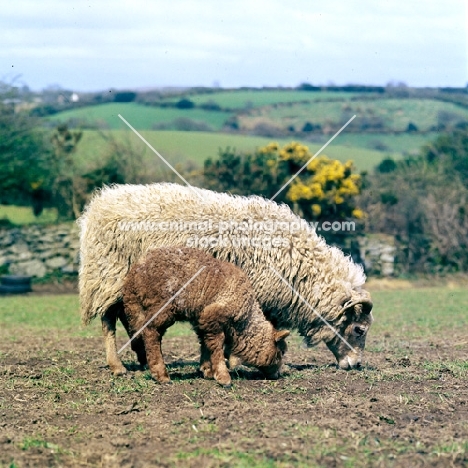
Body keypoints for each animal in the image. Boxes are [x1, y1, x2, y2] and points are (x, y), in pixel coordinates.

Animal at [121, 247, 288, 386]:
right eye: (281, 352)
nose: (278, 375)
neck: (244, 321)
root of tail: (134, 274)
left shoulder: (202, 319)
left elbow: (205, 343)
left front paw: (207, 370)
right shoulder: (213, 316)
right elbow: (217, 345)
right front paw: (223, 377)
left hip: (138, 307)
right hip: (162, 306)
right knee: (151, 332)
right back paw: (161, 375)